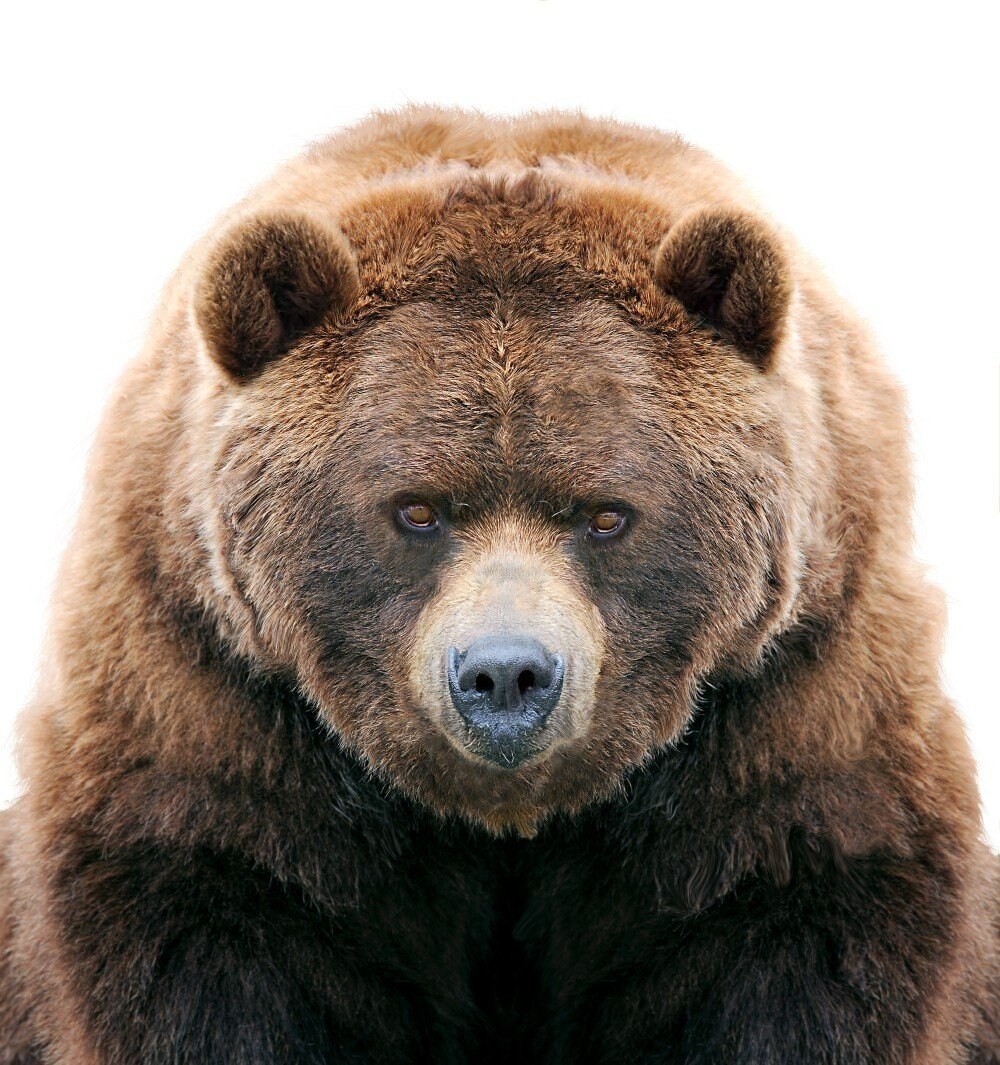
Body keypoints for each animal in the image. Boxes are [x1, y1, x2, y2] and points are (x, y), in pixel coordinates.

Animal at [0, 105, 997, 1064]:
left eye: (607, 512)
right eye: (416, 508)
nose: (507, 676)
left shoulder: (791, 717)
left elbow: (795, 949)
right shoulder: (212, 719)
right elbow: (213, 954)